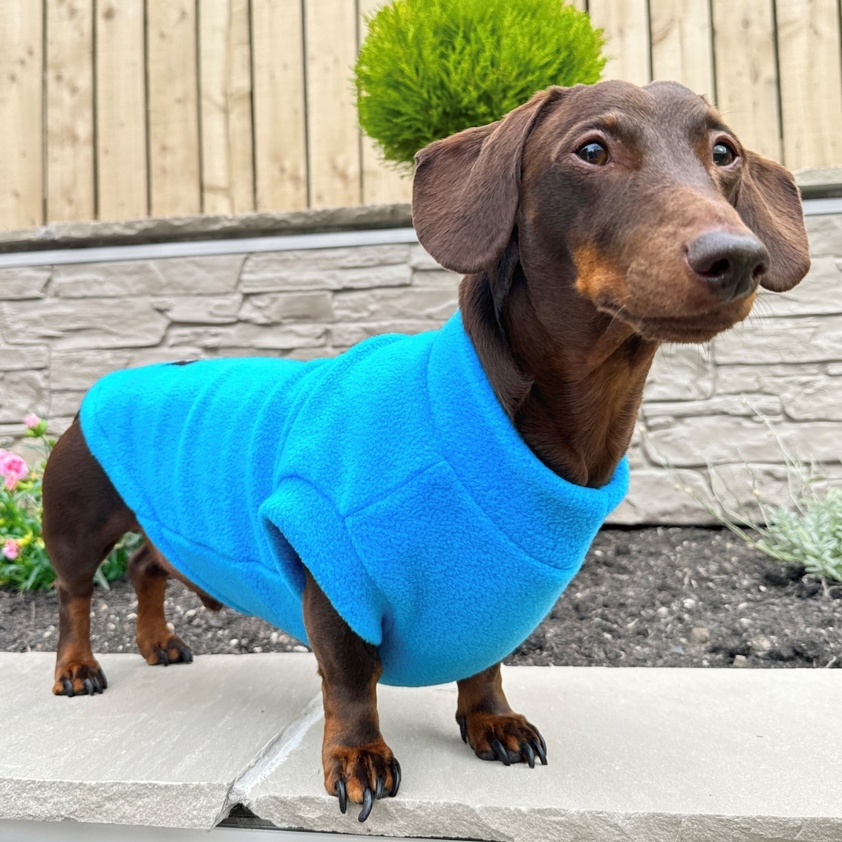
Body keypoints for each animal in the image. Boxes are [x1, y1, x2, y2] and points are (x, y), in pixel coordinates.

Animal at [41, 80, 808, 820]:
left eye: (725, 152)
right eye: (591, 149)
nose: (738, 257)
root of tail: (105, 384)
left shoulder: (490, 596)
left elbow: (485, 663)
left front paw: (491, 720)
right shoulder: (329, 559)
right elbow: (350, 674)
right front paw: (357, 756)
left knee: (146, 564)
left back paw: (156, 642)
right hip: (79, 520)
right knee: (75, 595)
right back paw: (76, 668)